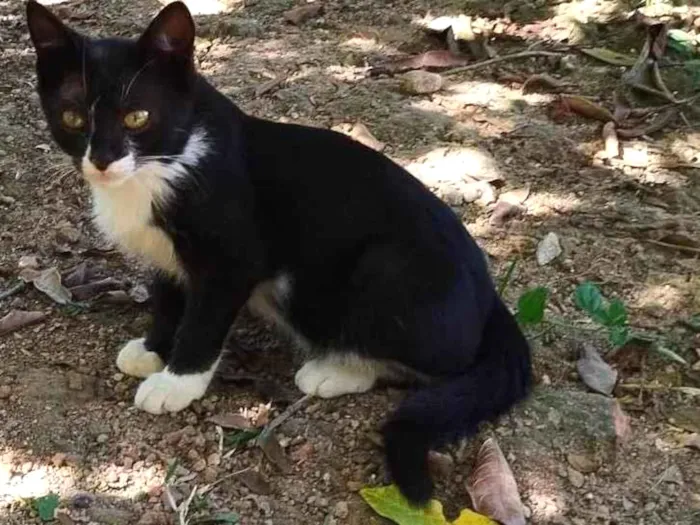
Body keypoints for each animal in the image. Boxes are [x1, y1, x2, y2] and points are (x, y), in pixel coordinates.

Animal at [26, 0, 532, 504]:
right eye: (72, 118)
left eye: (137, 117)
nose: (102, 159)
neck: (166, 163)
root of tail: (490, 297)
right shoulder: (164, 256)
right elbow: (168, 297)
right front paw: (154, 348)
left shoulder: (233, 259)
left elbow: (204, 320)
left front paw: (177, 380)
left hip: (388, 270)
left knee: (439, 364)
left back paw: (336, 370)